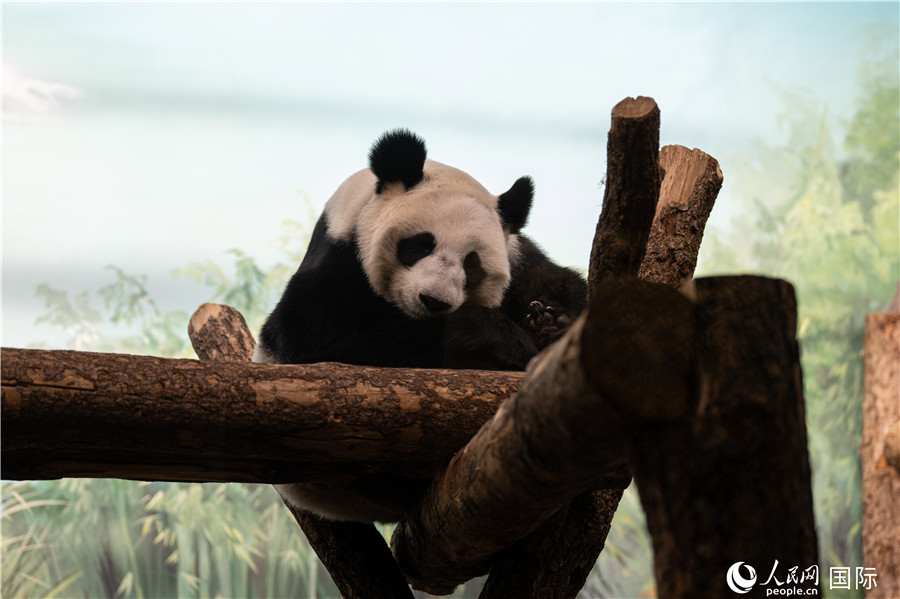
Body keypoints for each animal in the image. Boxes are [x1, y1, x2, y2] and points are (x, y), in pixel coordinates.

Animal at [255, 129, 592, 524]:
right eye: (420, 245)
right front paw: (495, 340)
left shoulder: (518, 255)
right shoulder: (337, 264)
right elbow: (313, 341)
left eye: (472, 263)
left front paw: (551, 324)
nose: (435, 301)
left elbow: (565, 285)